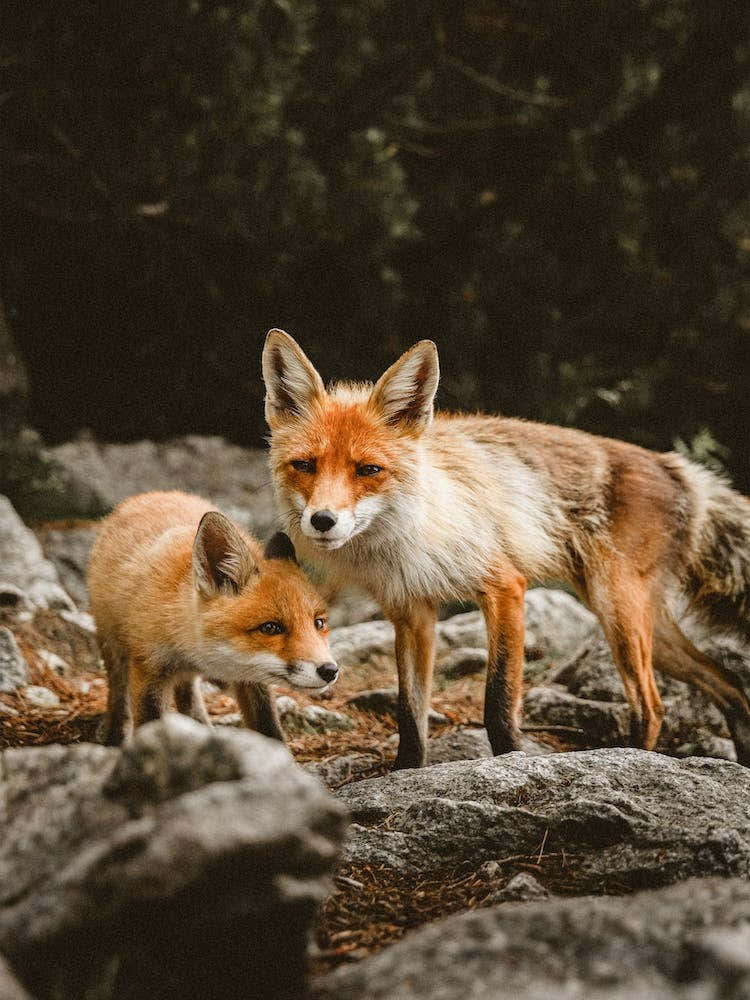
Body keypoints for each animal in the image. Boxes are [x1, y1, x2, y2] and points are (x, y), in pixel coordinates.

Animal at [88, 490, 337, 745]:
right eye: (270, 628)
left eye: (319, 623)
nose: (330, 670)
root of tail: (149, 495)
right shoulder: (148, 670)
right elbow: (149, 725)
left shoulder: (251, 678)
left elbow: (269, 728)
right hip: (113, 647)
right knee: (119, 696)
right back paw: (115, 736)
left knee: (187, 695)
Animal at [262, 328, 750, 769]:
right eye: (304, 465)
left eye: (368, 470)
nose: (322, 520)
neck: (406, 536)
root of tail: (674, 464)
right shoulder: (412, 611)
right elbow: (410, 713)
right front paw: (405, 772)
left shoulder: (505, 587)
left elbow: (497, 701)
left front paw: (512, 762)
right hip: (640, 621)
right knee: (729, 684)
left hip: (618, 611)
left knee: (653, 706)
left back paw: (632, 759)